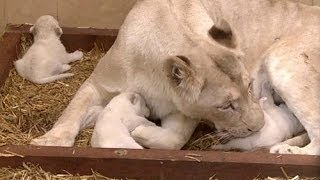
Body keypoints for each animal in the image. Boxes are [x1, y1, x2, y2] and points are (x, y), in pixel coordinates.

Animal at [31, 0, 318, 155]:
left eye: (249, 87)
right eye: (225, 106)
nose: (260, 126)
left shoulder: (183, 112)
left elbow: (173, 140)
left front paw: (140, 131)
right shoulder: (98, 83)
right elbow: (72, 110)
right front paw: (49, 141)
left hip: (282, 62)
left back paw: (284, 150)